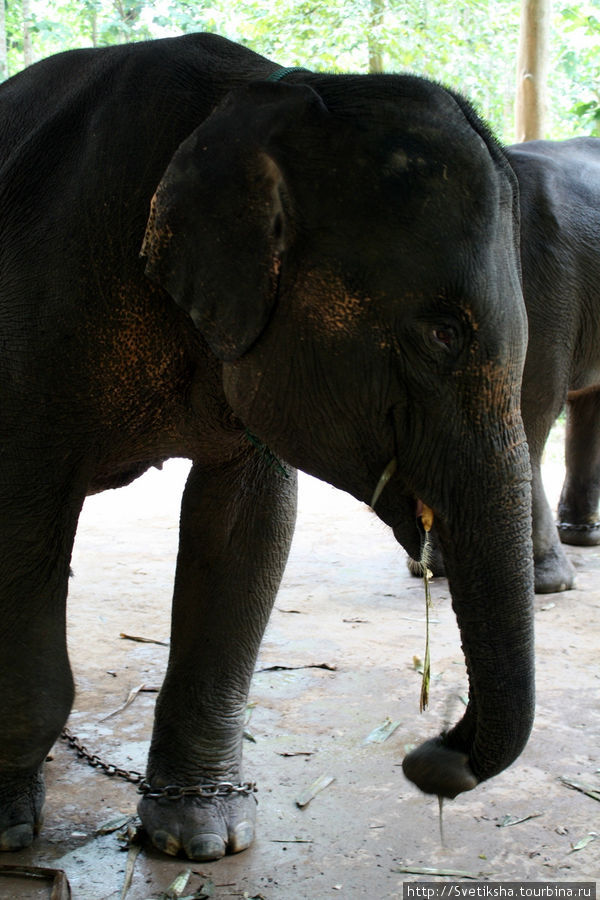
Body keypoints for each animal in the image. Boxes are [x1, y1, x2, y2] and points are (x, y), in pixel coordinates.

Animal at [0, 31, 536, 860]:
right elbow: (22, 525)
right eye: (444, 332)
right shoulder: (36, 303)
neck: (269, 91)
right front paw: (6, 827)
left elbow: (245, 527)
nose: (430, 757)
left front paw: (199, 837)